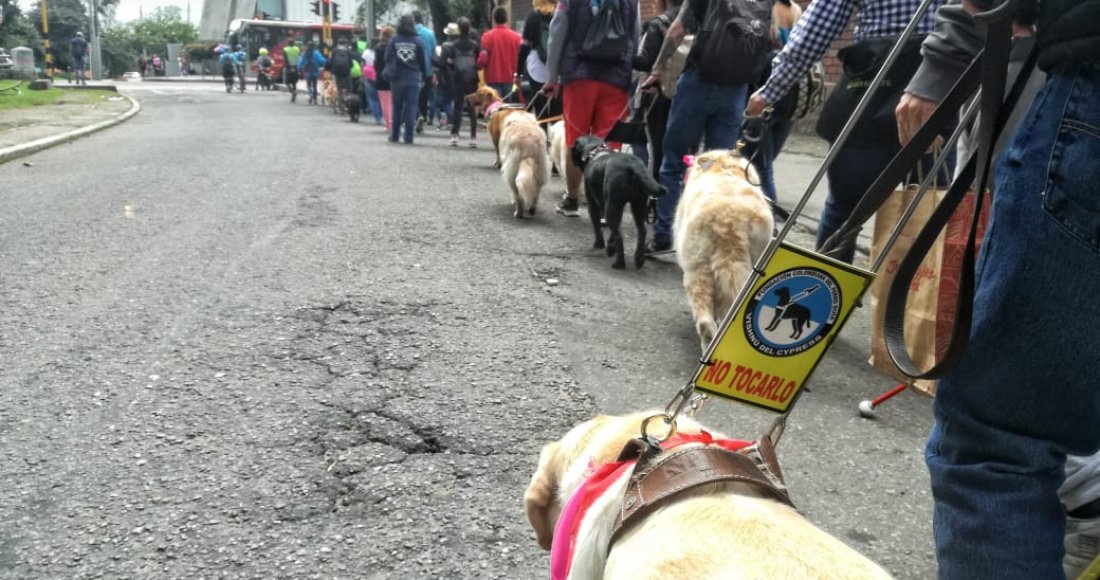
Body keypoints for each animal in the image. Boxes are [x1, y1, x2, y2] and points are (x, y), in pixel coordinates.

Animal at [572, 136, 664, 269]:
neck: (595, 150)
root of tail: (632, 165)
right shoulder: (612, 205)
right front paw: (611, 245)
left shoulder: (594, 205)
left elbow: (597, 226)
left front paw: (600, 244)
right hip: (638, 206)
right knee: (641, 230)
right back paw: (639, 258)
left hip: (613, 208)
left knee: (620, 236)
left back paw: (619, 263)